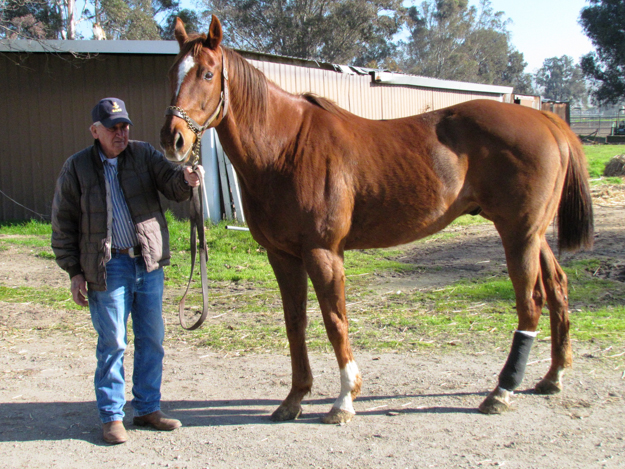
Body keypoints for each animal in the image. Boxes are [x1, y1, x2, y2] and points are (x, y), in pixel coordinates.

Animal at [158, 16, 592, 422]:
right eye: (172, 71)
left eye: (207, 73)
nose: (172, 139)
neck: (285, 147)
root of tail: (548, 122)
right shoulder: (282, 256)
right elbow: (296, 323)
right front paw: (294, 398)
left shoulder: (323, 252)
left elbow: (335, 321)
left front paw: (344, 400)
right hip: (533, 233)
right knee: (558, 287)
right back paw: (552, 376)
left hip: (518, 232)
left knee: (530, 302)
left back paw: (501, 392)